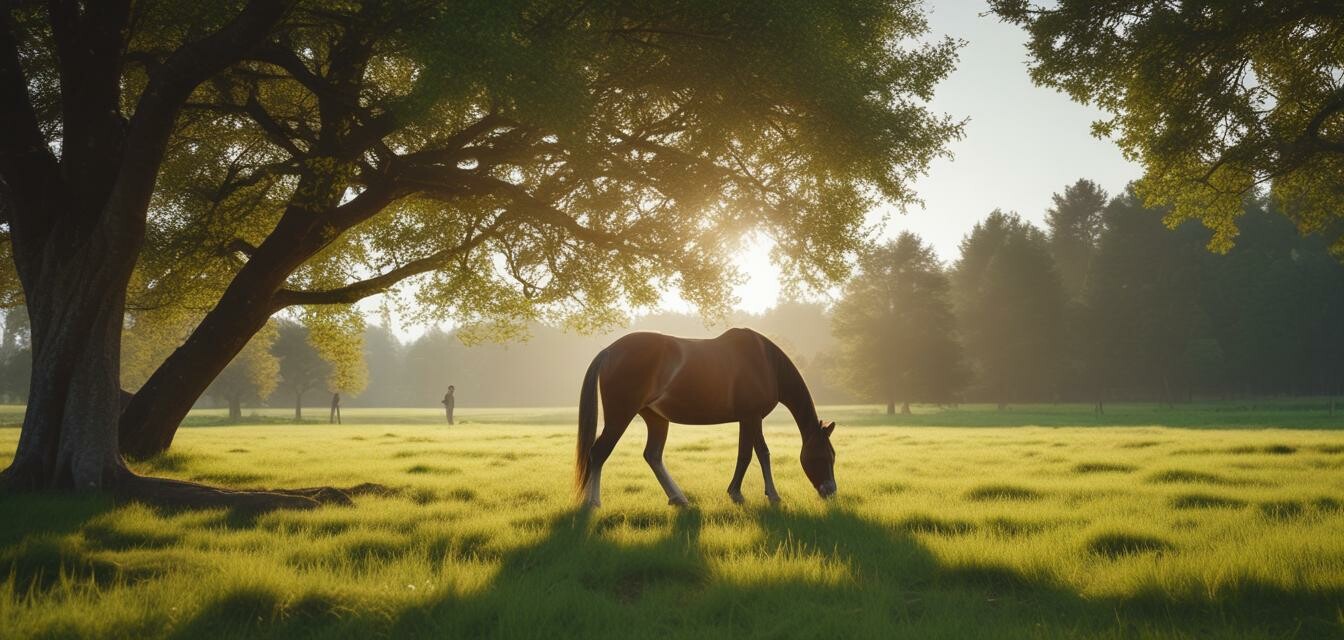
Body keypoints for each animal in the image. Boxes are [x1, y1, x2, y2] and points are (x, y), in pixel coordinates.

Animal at [572, 328, 833, 508]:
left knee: (652, 455)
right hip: (620, 415)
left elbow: (745, 454)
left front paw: (736, 493)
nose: (830, 490)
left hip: (656, 418)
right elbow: (761, 453)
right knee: (599, 452)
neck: (766, 362)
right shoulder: (753, 417)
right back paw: (592, 502)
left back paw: (679, 498)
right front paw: (772, 495)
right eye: (824, 456)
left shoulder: (746, 419)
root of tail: (609, 351)